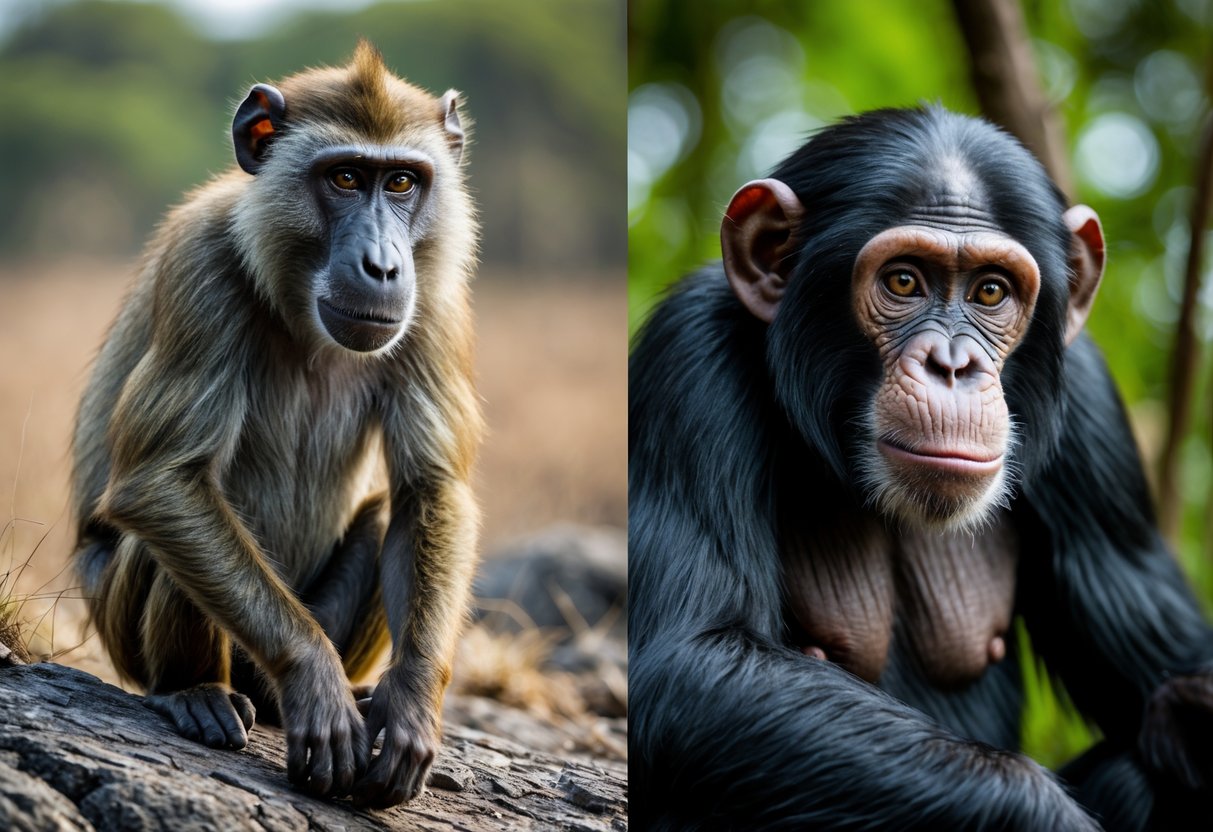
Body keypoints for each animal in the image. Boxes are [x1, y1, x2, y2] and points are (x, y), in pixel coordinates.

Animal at [69, 42, 480, 809]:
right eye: (345, 178)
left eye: (402, 182)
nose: (384, 266)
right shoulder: (201, 265)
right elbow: (162, 481)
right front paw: (312, 676)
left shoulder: (435, 299)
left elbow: (430, 490)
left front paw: (411, 702)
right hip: (119, 622)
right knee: (173, 522)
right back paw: (195, 690)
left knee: (388, 513)